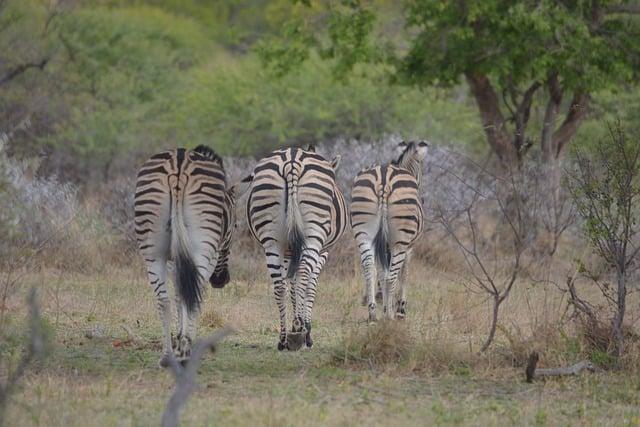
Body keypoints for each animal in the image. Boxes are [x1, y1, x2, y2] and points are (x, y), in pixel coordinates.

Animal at [133, 145, 248, 366]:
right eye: (236, 226)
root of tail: (178, 163)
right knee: (193, 295)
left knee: (163, 300)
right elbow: (193, 295)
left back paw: (167, 356)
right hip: (202, 246)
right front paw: (185, 342)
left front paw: (179, 339)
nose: (221, 280)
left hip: (152, 247)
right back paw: (185, 355)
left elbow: (179, 294)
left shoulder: (175, 259)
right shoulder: (211, 256)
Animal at [241, 146, 350, 352]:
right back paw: (301, 330)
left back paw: (283, 339)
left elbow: (291, 284)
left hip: (271, 239)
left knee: (279, 286)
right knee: (305, 275)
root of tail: (292, 161)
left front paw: (294, 325)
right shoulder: (323, 252)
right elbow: (309, 286)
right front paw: (305, 330)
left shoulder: (288, 252)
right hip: (314, 235)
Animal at [350, 140, 430, 320]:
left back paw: (373, 312)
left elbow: (381, 272)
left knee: (369, 267)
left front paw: (387, 303)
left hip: (363, 233)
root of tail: (384, 179)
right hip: (400, 240)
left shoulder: (384, 245)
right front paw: (399, 307)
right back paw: (389, 316)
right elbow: (403, 273)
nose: (422, 199)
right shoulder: (409, 247)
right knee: (391, 275)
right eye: (423, 171)